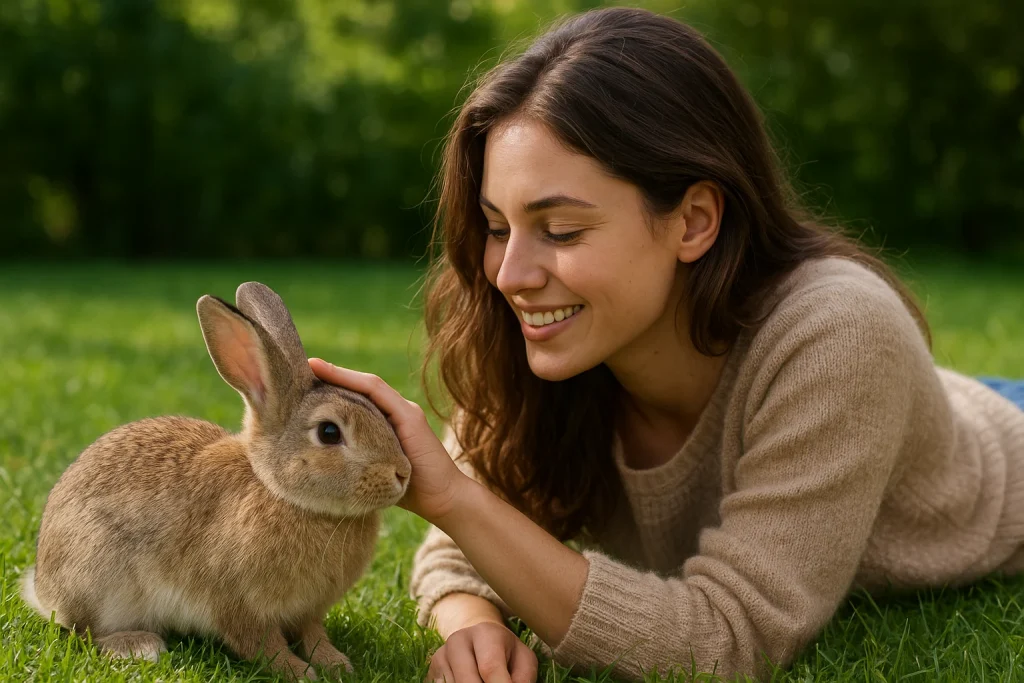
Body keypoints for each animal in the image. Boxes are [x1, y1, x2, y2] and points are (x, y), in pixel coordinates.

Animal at [20, 281, 411, 680]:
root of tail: (44, 590)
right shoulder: (236, 603)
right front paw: (299, 672)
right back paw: (138, 646)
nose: (403, 473)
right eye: (329, 433)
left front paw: (335, 664)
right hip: (101, 581)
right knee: (86, 631)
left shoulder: (307, 611)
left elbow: (313, 633)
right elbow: (261, 643)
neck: (281, 494)